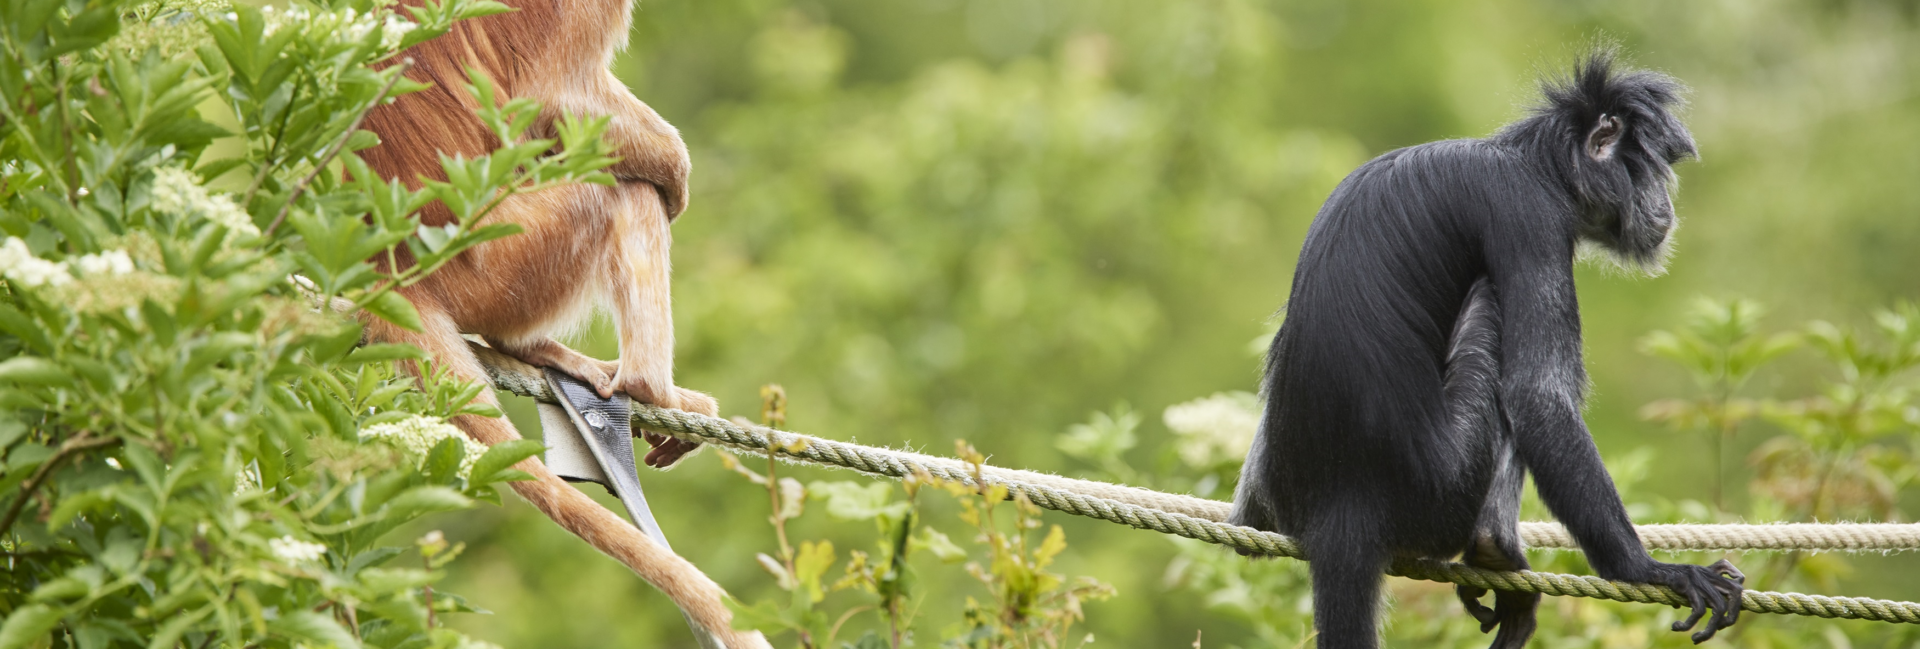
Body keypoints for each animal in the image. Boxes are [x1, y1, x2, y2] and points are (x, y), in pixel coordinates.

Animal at [357, 0, 760, 641]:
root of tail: (390, 265)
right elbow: (556, 99)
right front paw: (675, 165)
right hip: (505, 259)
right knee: (621, 192)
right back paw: (650, 386)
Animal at [1236, 52, 1751, 649]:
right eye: (1652, 173)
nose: (1665, 204)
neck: (1524, 160)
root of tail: (1343, 503)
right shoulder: (1528, 214)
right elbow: (1536, 395)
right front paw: (1648, 570)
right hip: (1445, 486)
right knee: (1493, 314)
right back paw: (1493, 549)